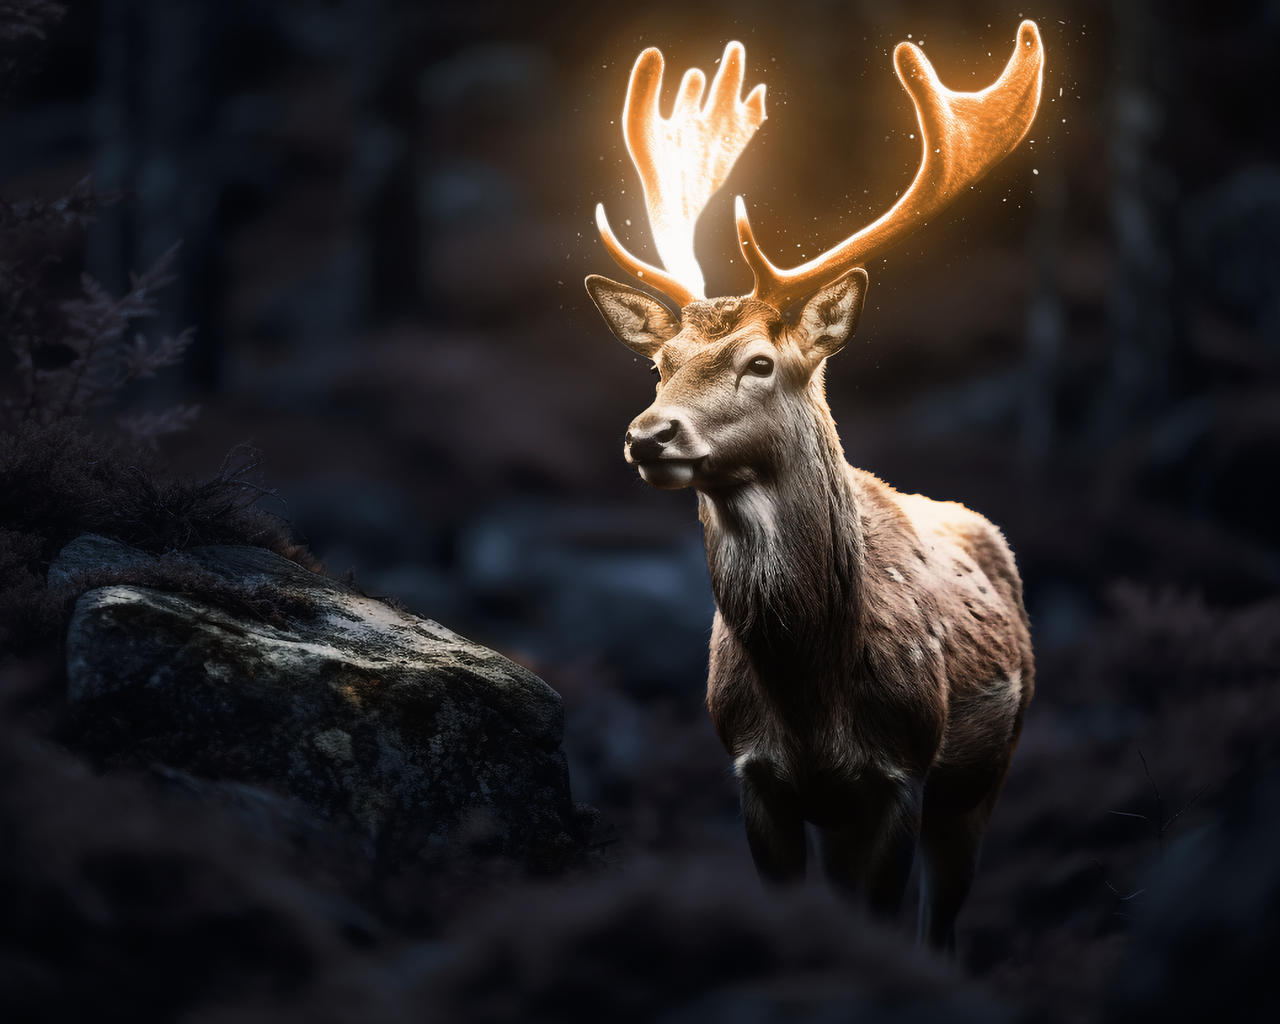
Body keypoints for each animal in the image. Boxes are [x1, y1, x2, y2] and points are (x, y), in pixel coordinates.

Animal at [583, 23, 1042, 950]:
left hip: (987, 773)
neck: (809, 694)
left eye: (761, 363)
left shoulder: (902, 772)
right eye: (659, 363)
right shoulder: (755, 774)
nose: (648, 436)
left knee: (945, 921)